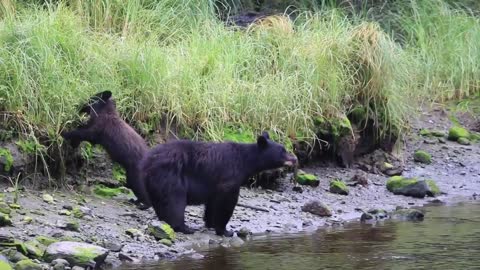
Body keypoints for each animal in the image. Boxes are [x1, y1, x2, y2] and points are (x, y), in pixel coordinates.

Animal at [141, 132, 296, 236]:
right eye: (283, 151)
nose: (294, 158)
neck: (245, 161)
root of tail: (148, 161)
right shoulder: (229, 175)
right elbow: (226, 201)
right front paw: (225, 230)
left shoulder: (214, 184)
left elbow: (212, 202)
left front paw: (210, 223)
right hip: (170, 176)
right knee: (174, 201)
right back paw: (185, 228)